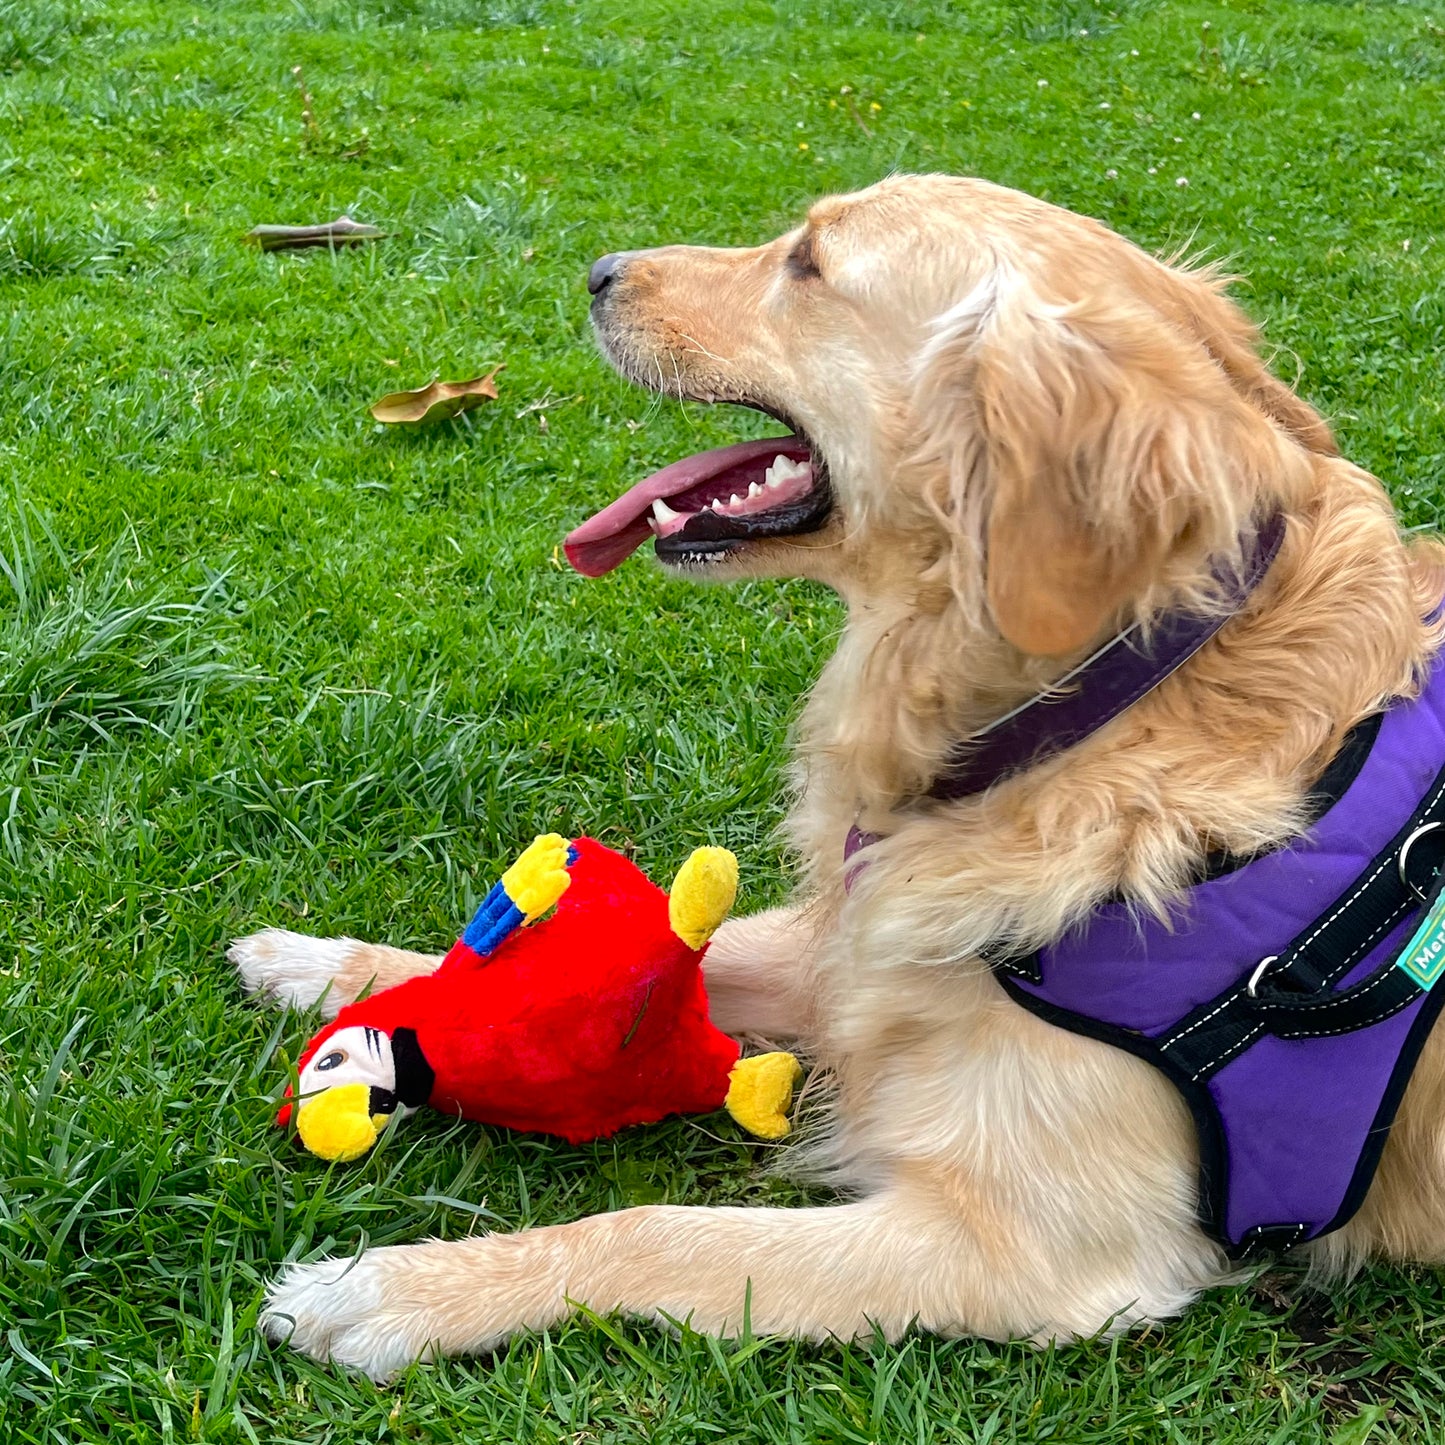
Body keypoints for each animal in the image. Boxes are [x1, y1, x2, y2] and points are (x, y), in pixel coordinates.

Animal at [231, 171, 1445, 1375]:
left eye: (808, 264)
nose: (597, 272)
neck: (1100, 709)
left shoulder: (1027, 1246)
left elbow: (656, 1231)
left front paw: (393, 1286)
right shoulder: (865, 953)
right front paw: (324, 964)